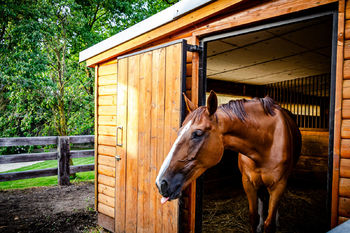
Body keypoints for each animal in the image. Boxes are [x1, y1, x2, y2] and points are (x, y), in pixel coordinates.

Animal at [156, 90, 300, 232]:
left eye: (197, 133)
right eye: (179, 131)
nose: (161, 183)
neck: (266, 142)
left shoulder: (278, 186)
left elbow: (269, 224)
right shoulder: (248, 183)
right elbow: (253, 217)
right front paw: (258, 224)